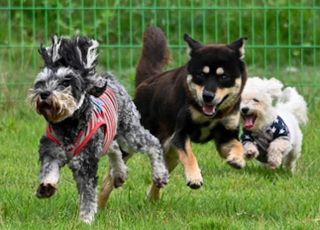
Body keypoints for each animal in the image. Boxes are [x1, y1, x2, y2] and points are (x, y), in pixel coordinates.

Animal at [29, 35, 169, 223]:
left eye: (65, 82)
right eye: (41, 82)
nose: (44, 94)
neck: (67, 126)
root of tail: (111, 79)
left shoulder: (86, 164)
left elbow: (88, 195)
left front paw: (86, 219)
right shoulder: (51, 151)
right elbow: (48, 170)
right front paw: (46, 187)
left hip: (130, 133)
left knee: (153, 143)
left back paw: (160, 174)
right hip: (109, 137)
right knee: (115, 148)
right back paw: (119, 174)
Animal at [134, 27, 248, 199]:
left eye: (224, 77)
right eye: (201, 75)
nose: (208, 96)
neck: (211, 116)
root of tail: (149, 80)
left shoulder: (225, 136)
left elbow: (238, 145)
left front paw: (237, 159)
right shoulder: (181, 134)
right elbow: (190, 156)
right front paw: (194, 177)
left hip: (171, 153)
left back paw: (152, 196)